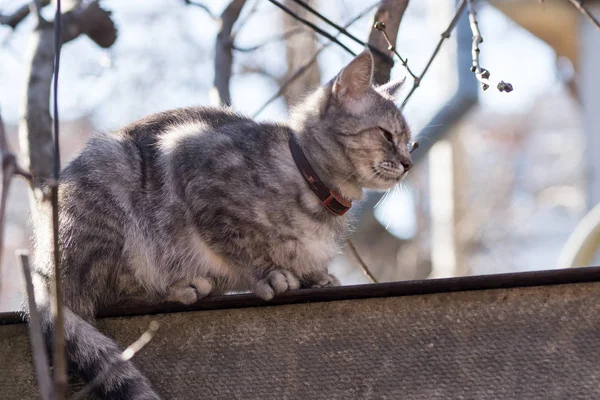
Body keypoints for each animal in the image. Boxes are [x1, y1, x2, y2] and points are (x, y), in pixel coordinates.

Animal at [32, 50, 412, 400]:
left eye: (410, 141)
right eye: (387, 135)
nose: (408, 162)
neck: (315, 190)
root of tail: (41, 269)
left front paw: (316, 275)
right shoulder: (188, 154)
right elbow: (235, 241)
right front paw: (269, 274)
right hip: (110, 187)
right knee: (101, 294)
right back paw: (183, 286)